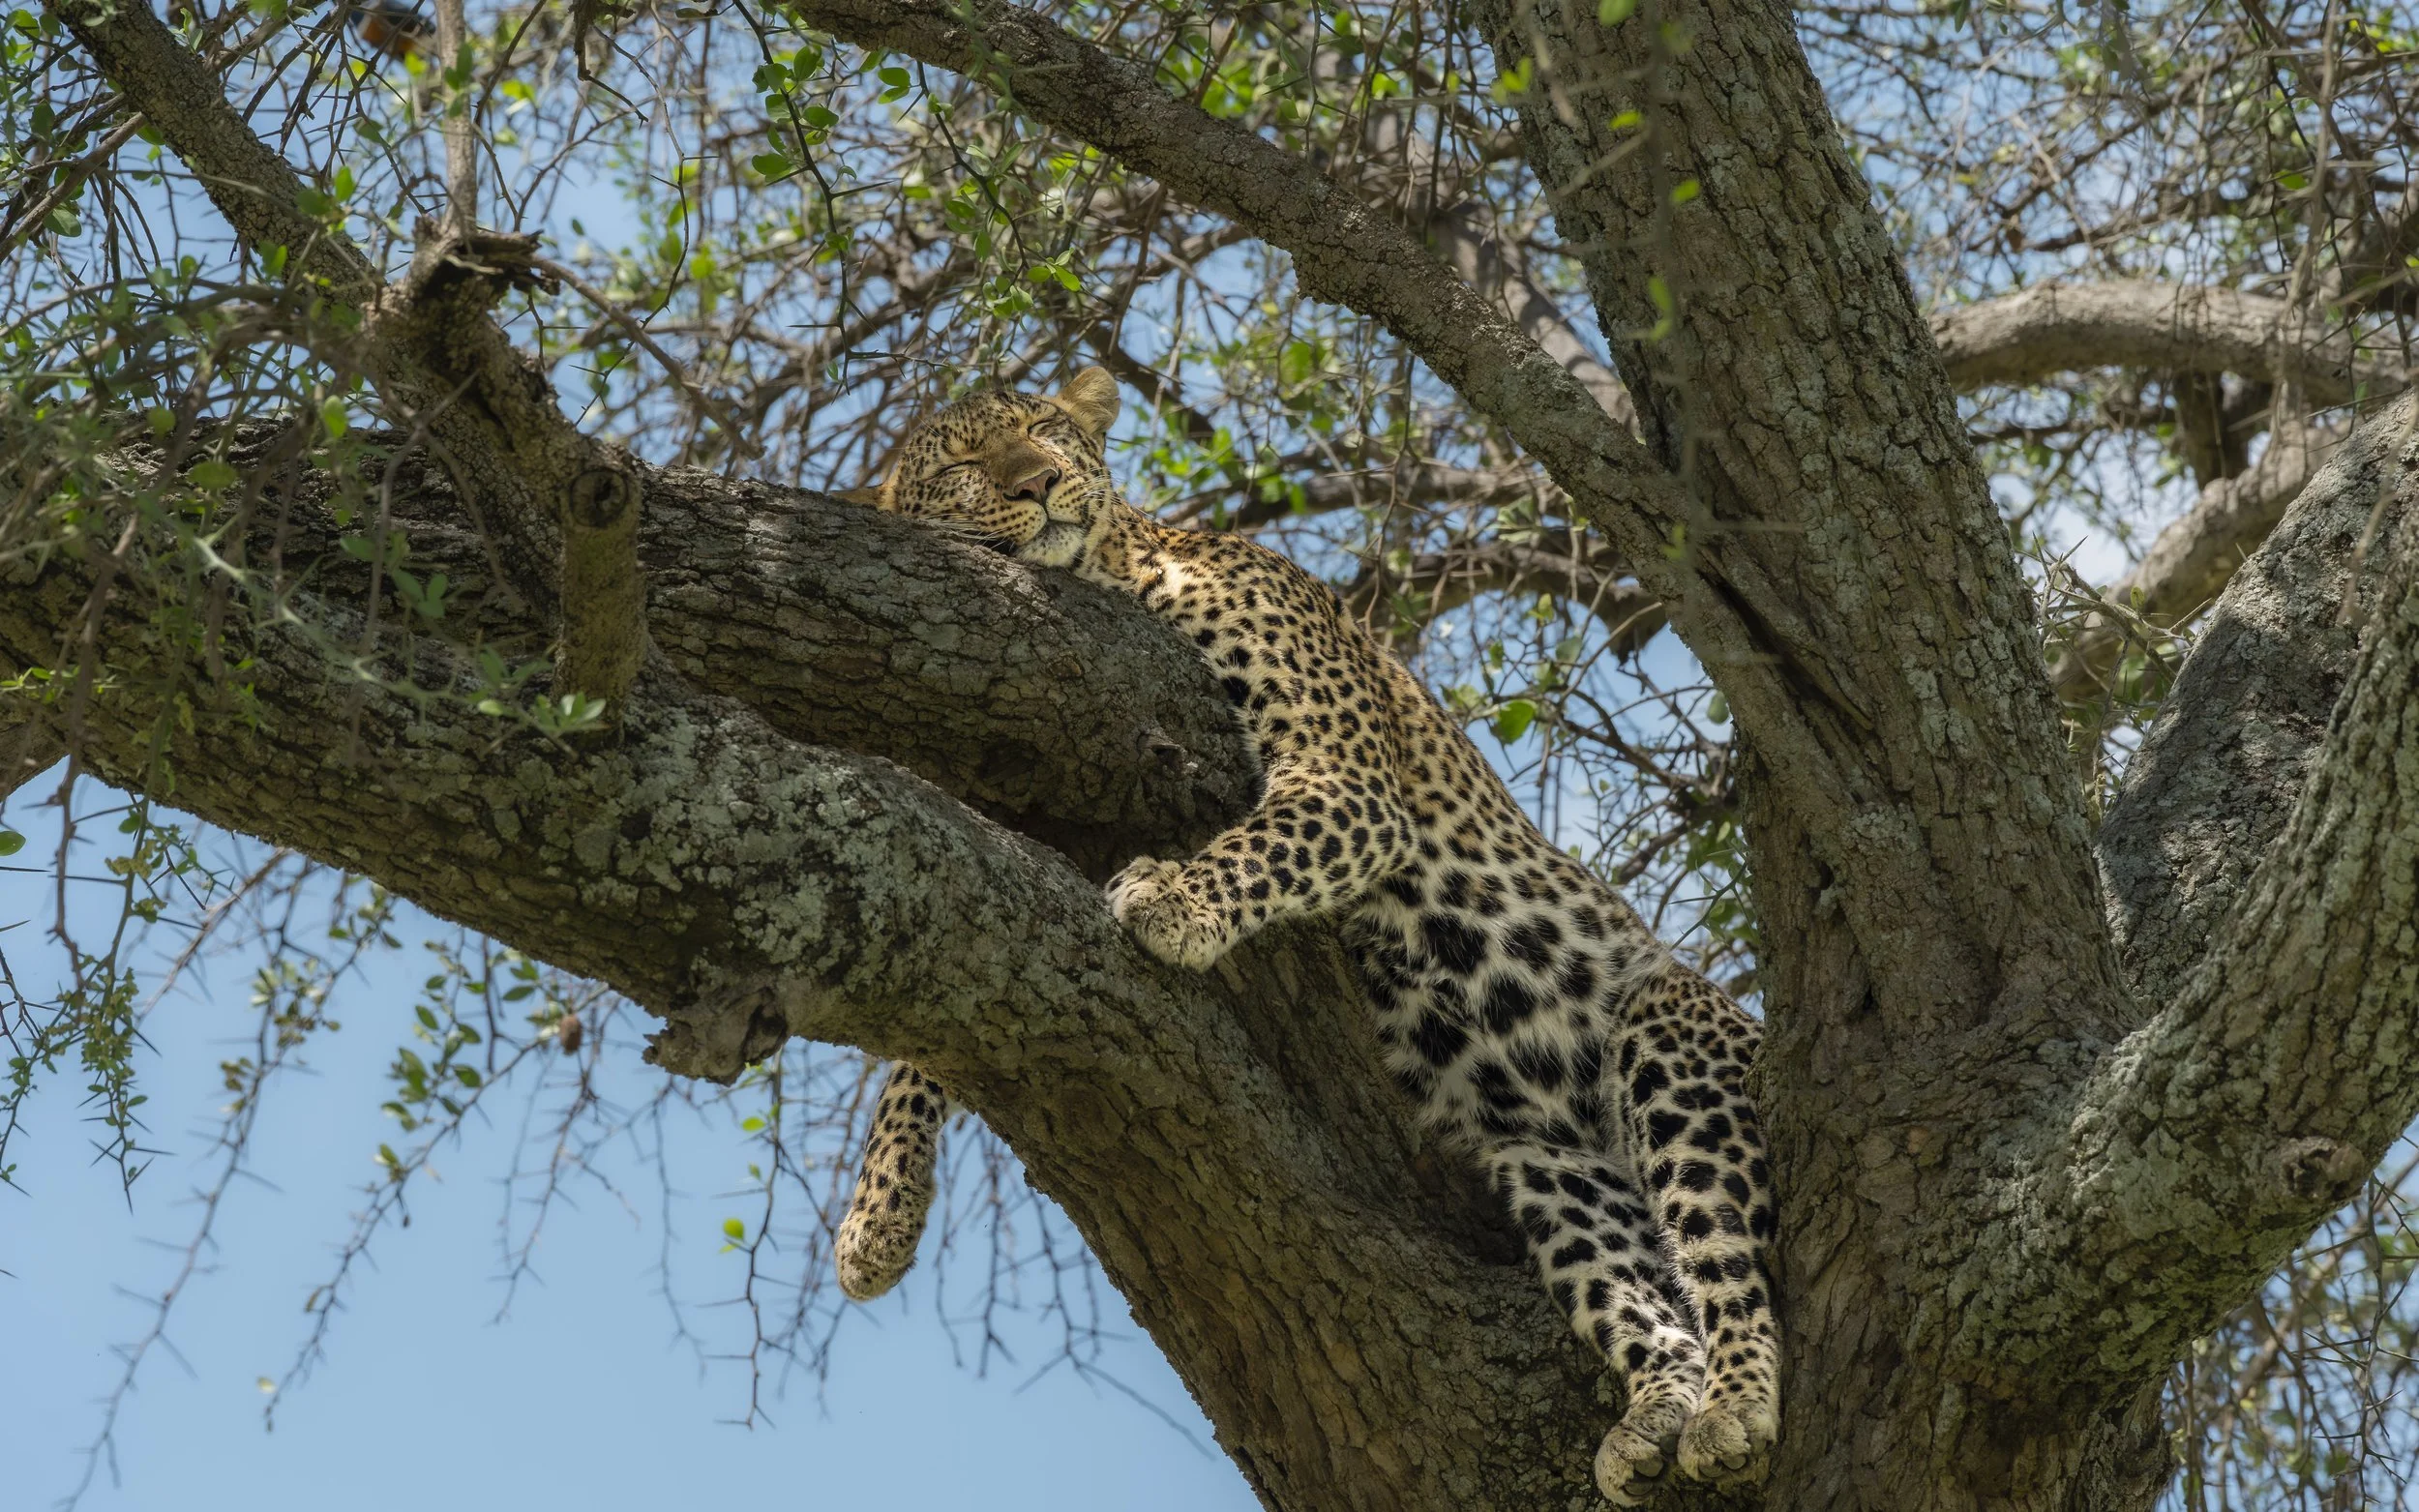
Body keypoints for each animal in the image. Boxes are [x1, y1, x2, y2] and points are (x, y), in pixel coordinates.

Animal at [826, 368, 1778, 1502]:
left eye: (1045, 430)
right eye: (966, 464)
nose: (1042, 482)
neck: (1120, 570)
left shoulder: (1347, 778)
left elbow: (1266, 839)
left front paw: (1173, 898)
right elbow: (927, 1039)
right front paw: (875, 1219)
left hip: (1672, 1023)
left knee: (1729, 1265)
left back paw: (1735, 1407)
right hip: (1546, 1167)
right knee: (1651, 1300)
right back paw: (1656, 1416)